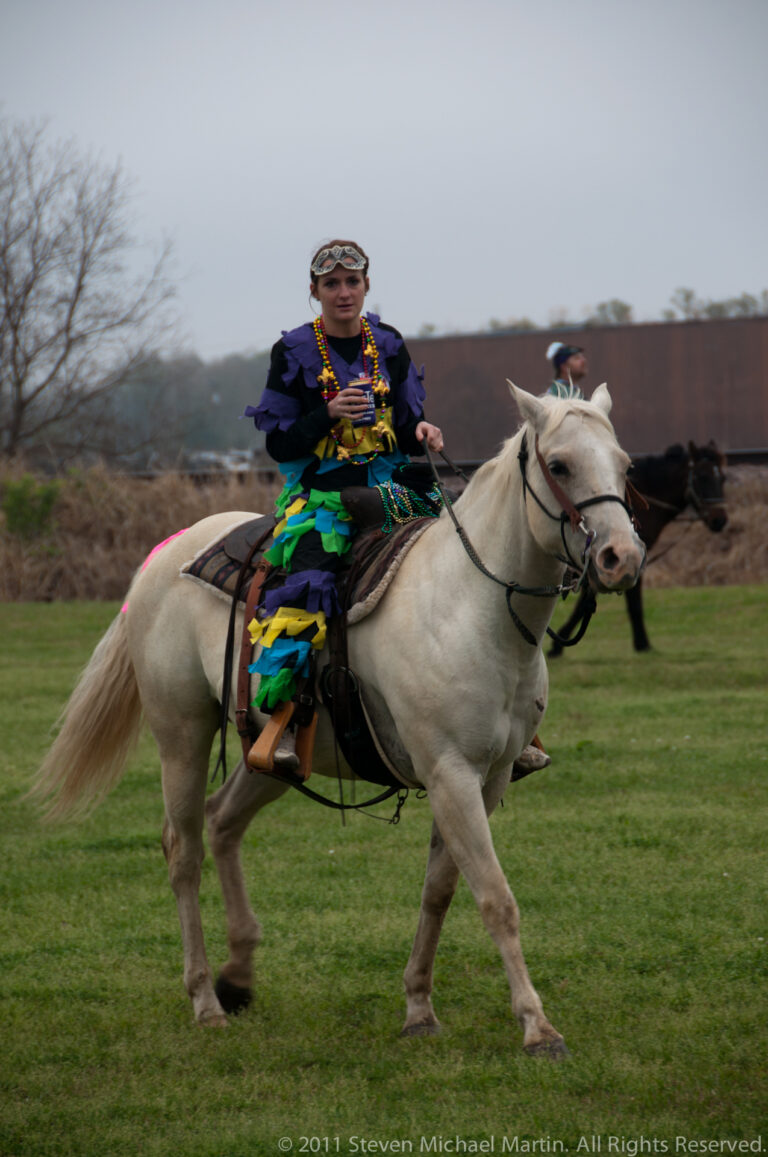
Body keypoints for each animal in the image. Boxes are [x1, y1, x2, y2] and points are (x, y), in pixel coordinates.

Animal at [33, 383, 645, 1058]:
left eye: (624, 465)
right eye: (558, 465)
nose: (621, 557)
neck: (471, 607)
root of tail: (164, 556)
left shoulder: (489, 779)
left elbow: (441, 891)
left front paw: (418, 1009)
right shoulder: (451, 774)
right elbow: (494, 898)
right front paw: (538, 1027)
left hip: (272, 754)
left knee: (223, 822)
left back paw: (237, 978)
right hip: (182, 735)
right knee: (183, 850)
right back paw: (204, 1001)